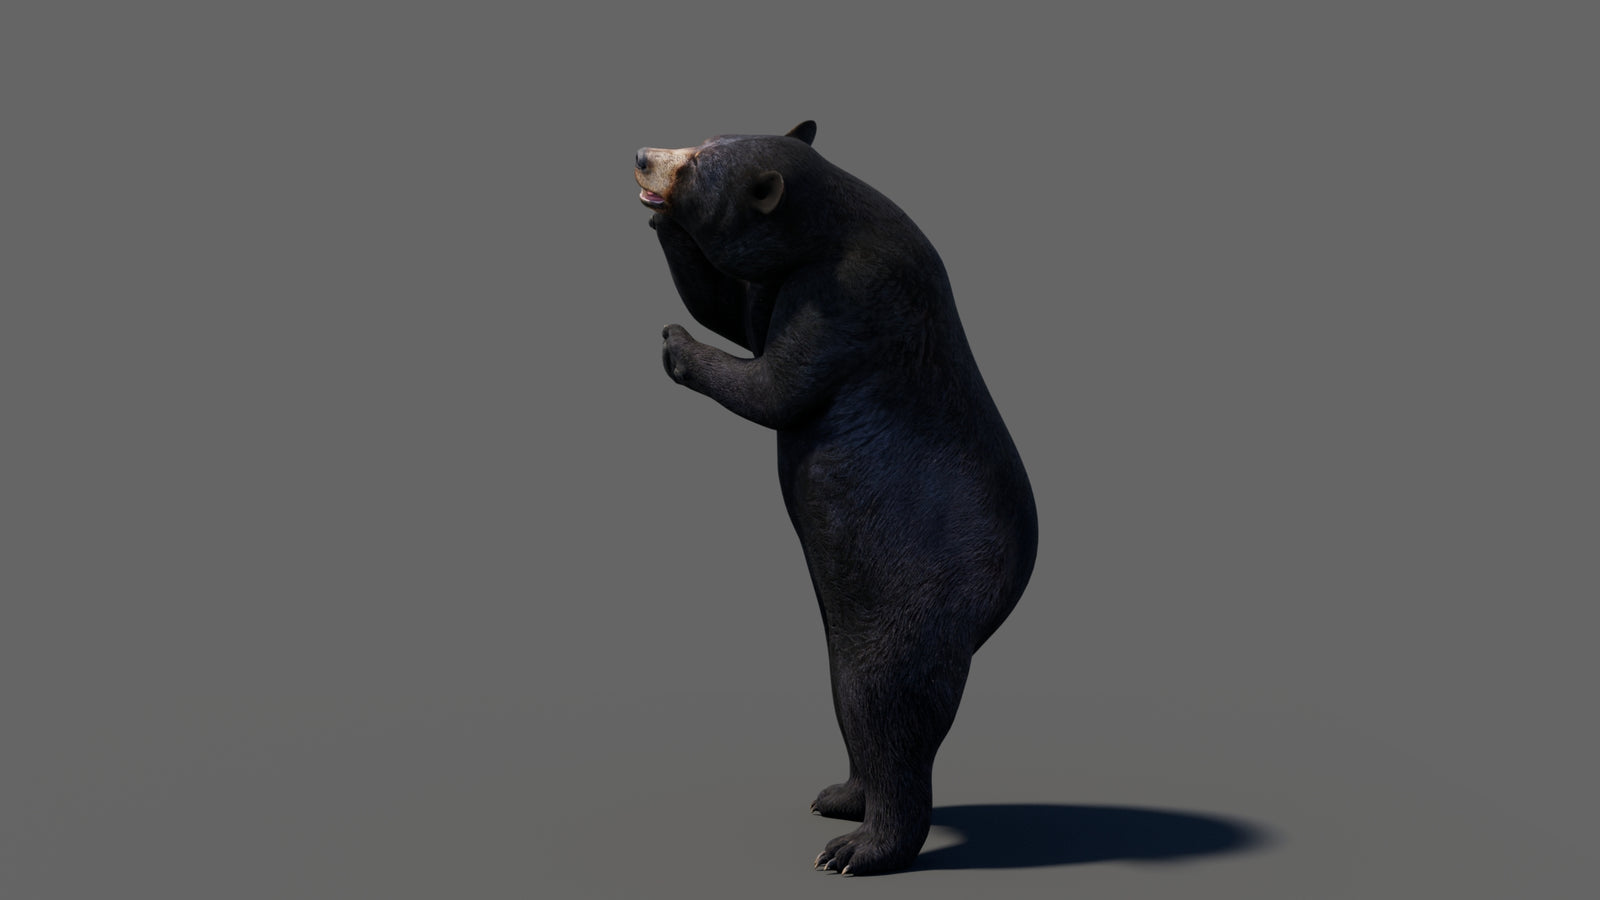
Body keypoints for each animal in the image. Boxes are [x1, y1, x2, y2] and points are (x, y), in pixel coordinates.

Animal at [635, 121, 1037, 875]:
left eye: (699, 165)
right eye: (701, 139)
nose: (643, 156)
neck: (836, 223)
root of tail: (996, 604)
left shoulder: (848, 294)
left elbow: (775, 383)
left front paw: (676, 342)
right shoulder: (788, 278)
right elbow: (735, 308)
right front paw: (660, 226)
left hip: (913, 601)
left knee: (884, 703)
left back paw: (860, 848)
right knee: (853, 701)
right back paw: (843, 796)